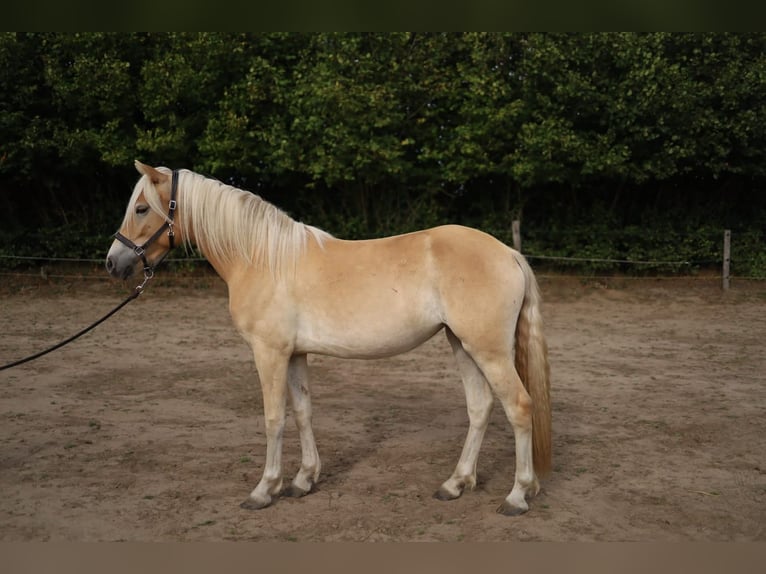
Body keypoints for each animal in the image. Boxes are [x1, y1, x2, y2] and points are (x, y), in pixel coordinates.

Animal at [106, 161, 551, 516]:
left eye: (142, 208)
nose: (113, 262)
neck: (262, 257)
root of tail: (508, 253)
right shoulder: (295, 354)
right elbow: (303, 411)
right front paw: (303, 480)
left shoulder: (269, 352)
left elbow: (274, 418)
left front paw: (264, 490)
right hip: (462, 345)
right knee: (480, 408)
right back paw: (455, 484)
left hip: (488, 350)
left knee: (519, 406)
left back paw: (517, 496)